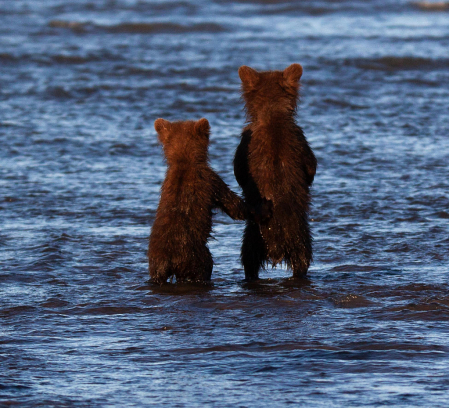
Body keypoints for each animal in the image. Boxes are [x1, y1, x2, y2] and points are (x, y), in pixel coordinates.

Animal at [148, 117, 247, 284]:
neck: (183, 161)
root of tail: (169, 260)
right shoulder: (209, 180)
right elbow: (232, 205)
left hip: (155, 261)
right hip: (196, 256)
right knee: (204, 268)